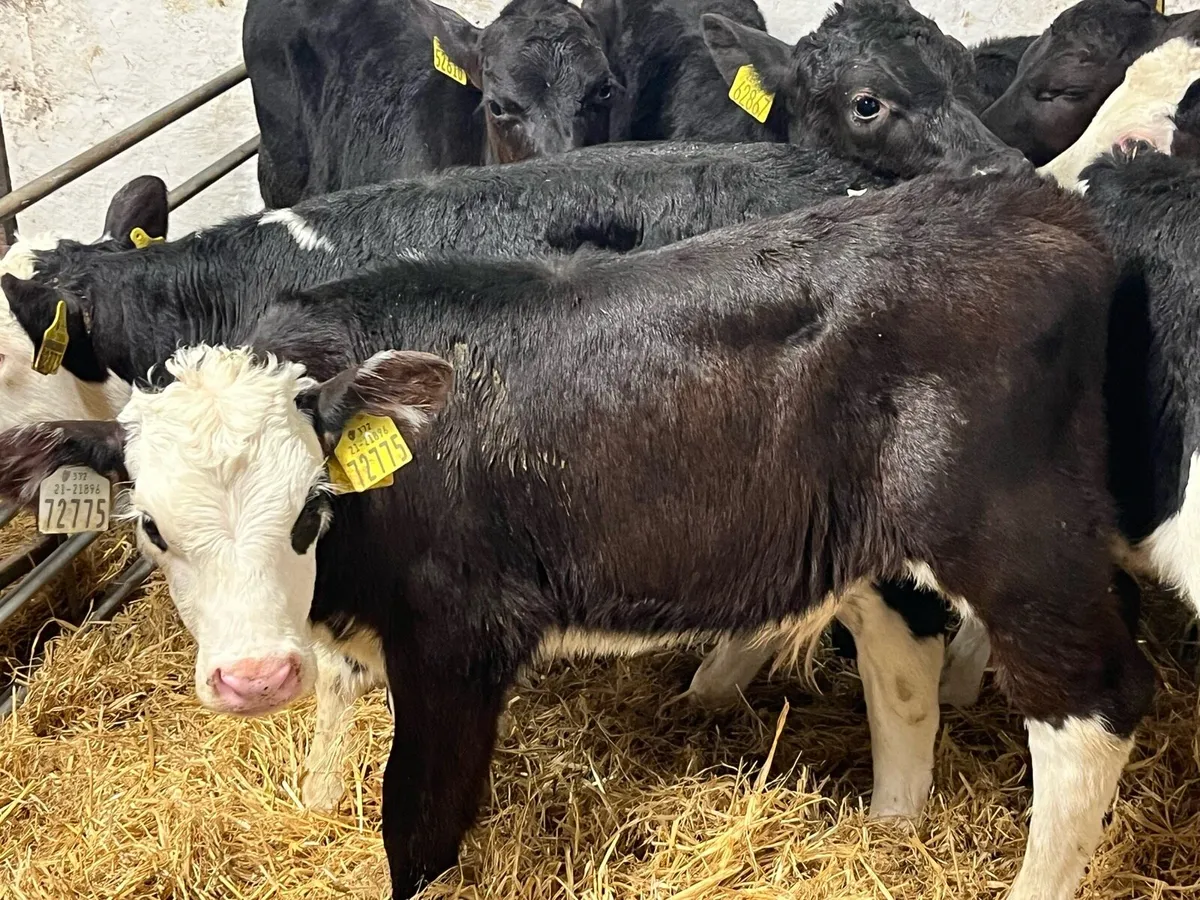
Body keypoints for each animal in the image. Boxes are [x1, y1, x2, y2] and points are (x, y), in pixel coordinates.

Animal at [0, 171, 1152, 900]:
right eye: (152, 528)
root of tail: (1031, 201)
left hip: (1022, 537)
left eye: (310, 510)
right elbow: (339, 709)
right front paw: (317, 792)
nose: (251, 679)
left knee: (1091, 708)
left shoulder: (458, 637)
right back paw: (889, 827)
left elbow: (417, 820)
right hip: (875, 537)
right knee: (902, 662)